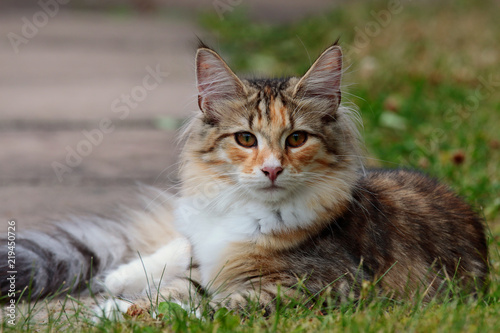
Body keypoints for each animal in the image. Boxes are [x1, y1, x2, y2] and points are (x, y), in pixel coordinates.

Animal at [1, 42, 490, 316]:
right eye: (245, 138)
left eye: (296, 139)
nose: (272, 168)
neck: (247, 215)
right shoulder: (214, 265)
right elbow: (187, 285)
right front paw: (120, 303)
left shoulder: (315, 289)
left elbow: (205, 306)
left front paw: (119, 313)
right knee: (174, 246)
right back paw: (120, 275)